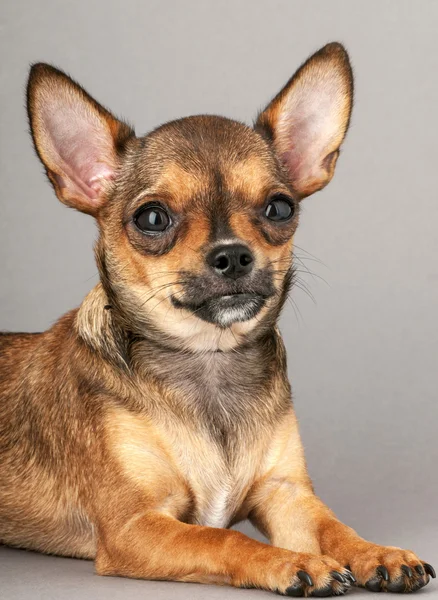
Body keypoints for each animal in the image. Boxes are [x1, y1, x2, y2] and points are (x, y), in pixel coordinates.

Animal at [0, 43, 432, 596]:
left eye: (280, 208)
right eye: (152, 218)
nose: (232, 255)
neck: (210, 359)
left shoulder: (287, 494)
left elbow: (335, 527)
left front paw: (377, 551)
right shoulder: (135, 526)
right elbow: (225, 538)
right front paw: (294, 562)